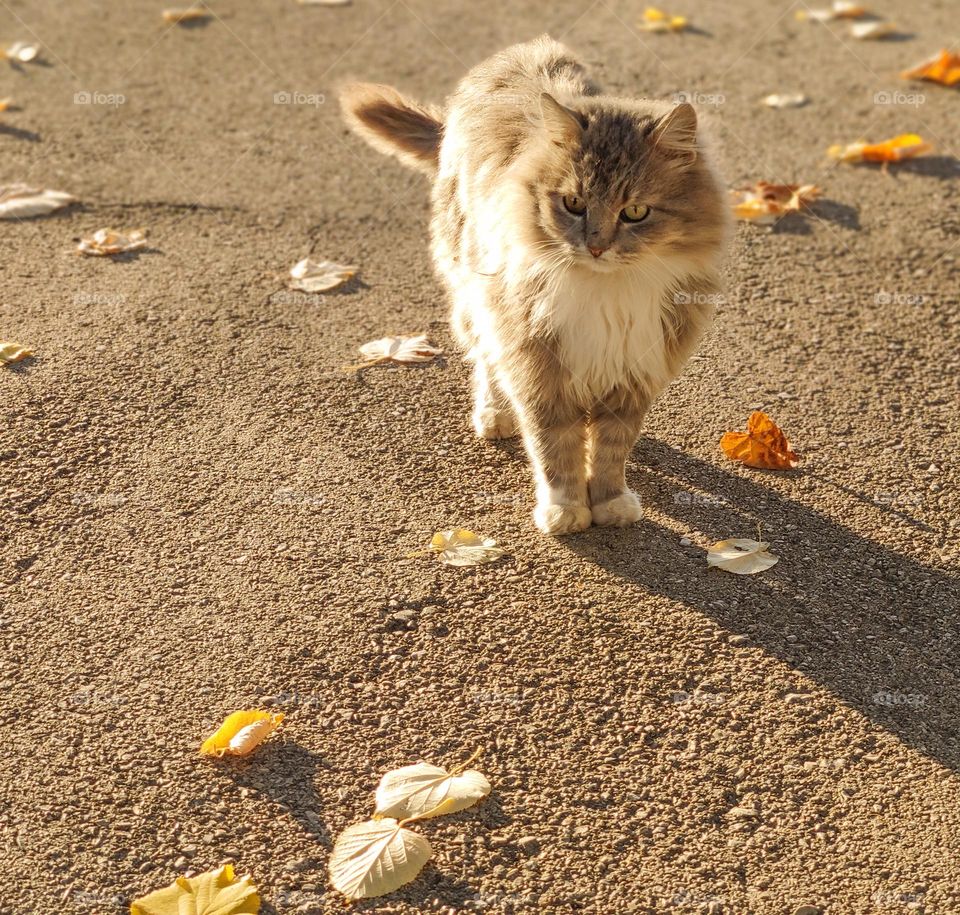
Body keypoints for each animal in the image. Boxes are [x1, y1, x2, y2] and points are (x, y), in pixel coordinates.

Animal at [344, 37, 728, 536]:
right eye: (574, 203)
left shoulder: (634, 366)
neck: (606, 292)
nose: (597, 247)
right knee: (485, 360)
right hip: (475, 294)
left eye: (635, 212)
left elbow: (612, 447)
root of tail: (519, 52)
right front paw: (565, 510)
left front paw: (610, 502)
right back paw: (495, 415)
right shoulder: (538, 360)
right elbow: (555, 447)